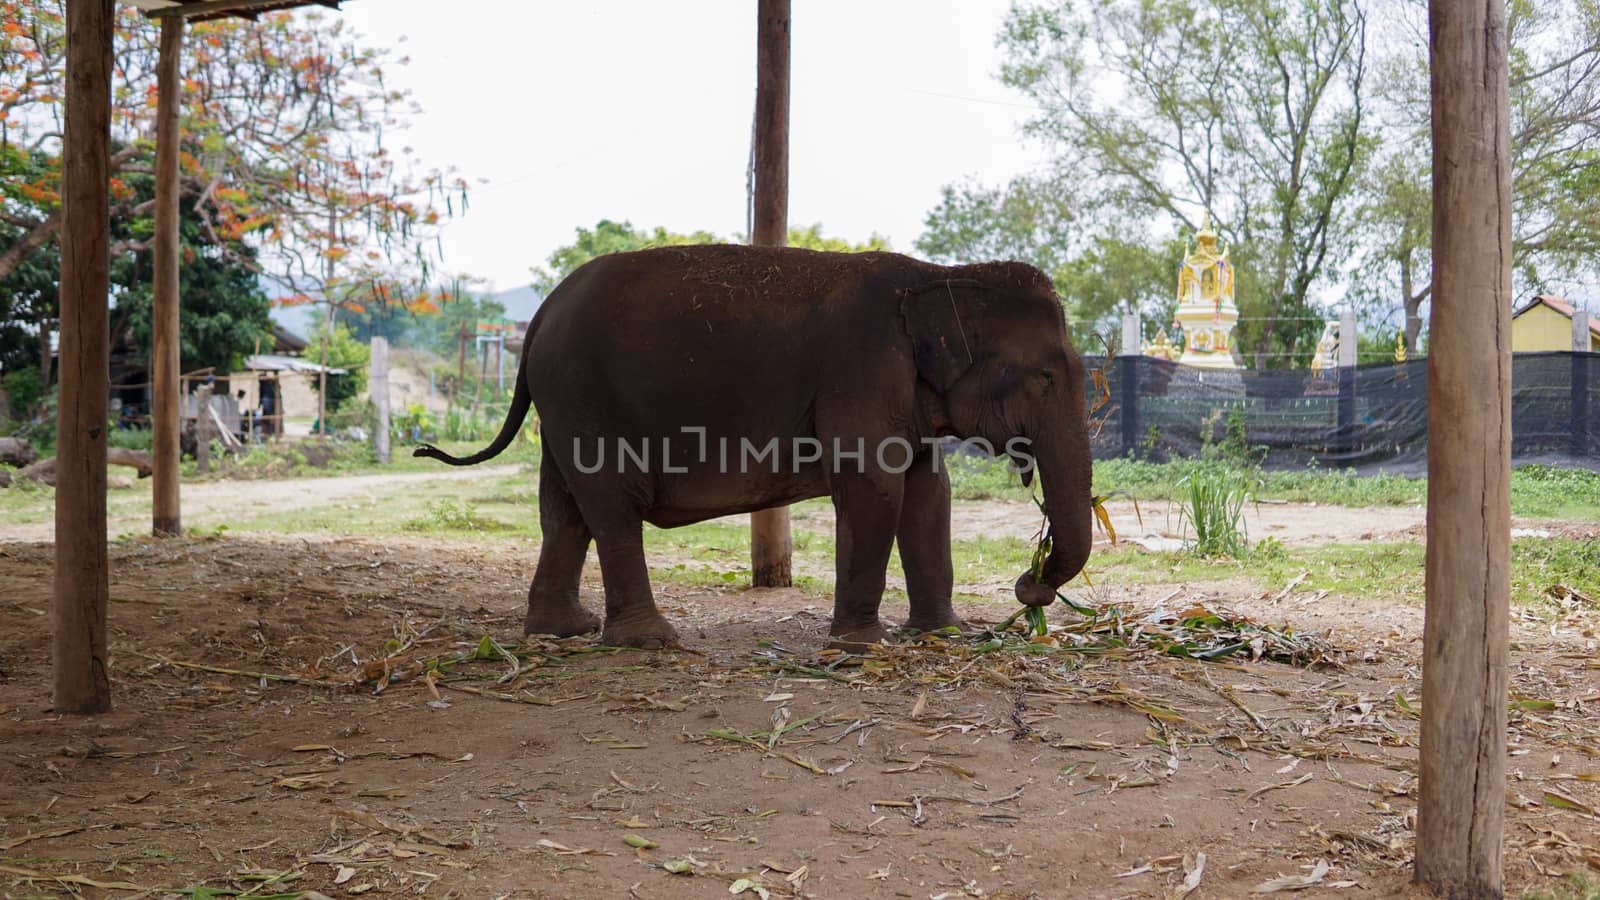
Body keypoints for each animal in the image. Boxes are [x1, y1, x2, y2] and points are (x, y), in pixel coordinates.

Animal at [412, 245, 1094, 643]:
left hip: (561, 406)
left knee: (563, 511)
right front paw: (859, 645)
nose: (1029, 586)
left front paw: (943, 634)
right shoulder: (862, 369)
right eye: (1045, 377)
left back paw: (563, 631)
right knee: (610, 507)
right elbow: (872, 486)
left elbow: (931, 492)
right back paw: (649, 641)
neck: (939, 277)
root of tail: (538, 317)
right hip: (584, 398)